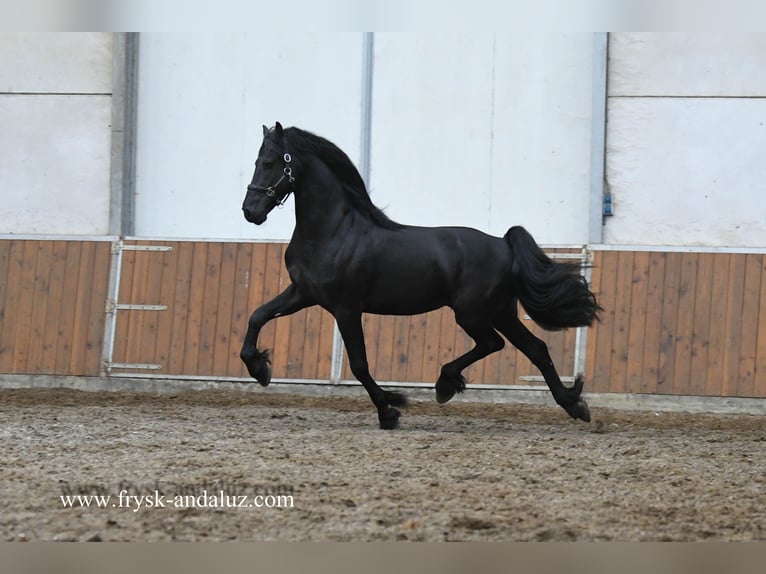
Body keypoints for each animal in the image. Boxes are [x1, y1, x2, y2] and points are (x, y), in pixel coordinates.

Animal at [240, 124, 600, 430]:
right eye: (255, 161)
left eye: (270, 162)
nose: (250, 211)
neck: (333, 231)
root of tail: (503, 244)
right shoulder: (303, 293)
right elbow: (257, 316)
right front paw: (260, 369)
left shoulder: (346, 308)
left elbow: (359, 364)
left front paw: (390, 409)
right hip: (500, 311)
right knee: (535, 348)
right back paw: (573, 404)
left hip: (472, 313)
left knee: (493, 343)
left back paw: (445, 383)